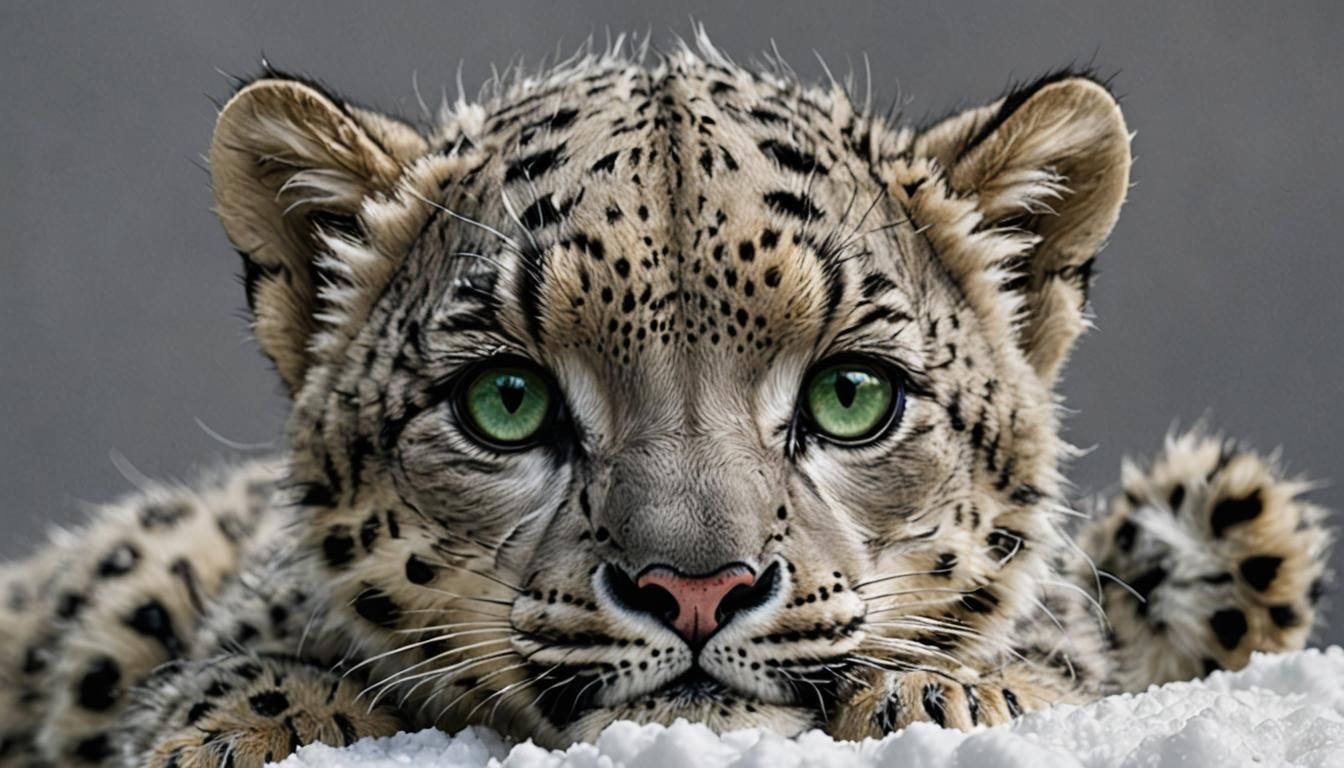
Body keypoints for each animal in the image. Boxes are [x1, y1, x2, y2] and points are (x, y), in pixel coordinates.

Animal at [0, 32, 1333, 767]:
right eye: (506, 401)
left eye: (854, 394)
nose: (697, 588)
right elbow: (242, 675)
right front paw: (243, 730)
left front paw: (955, 693)